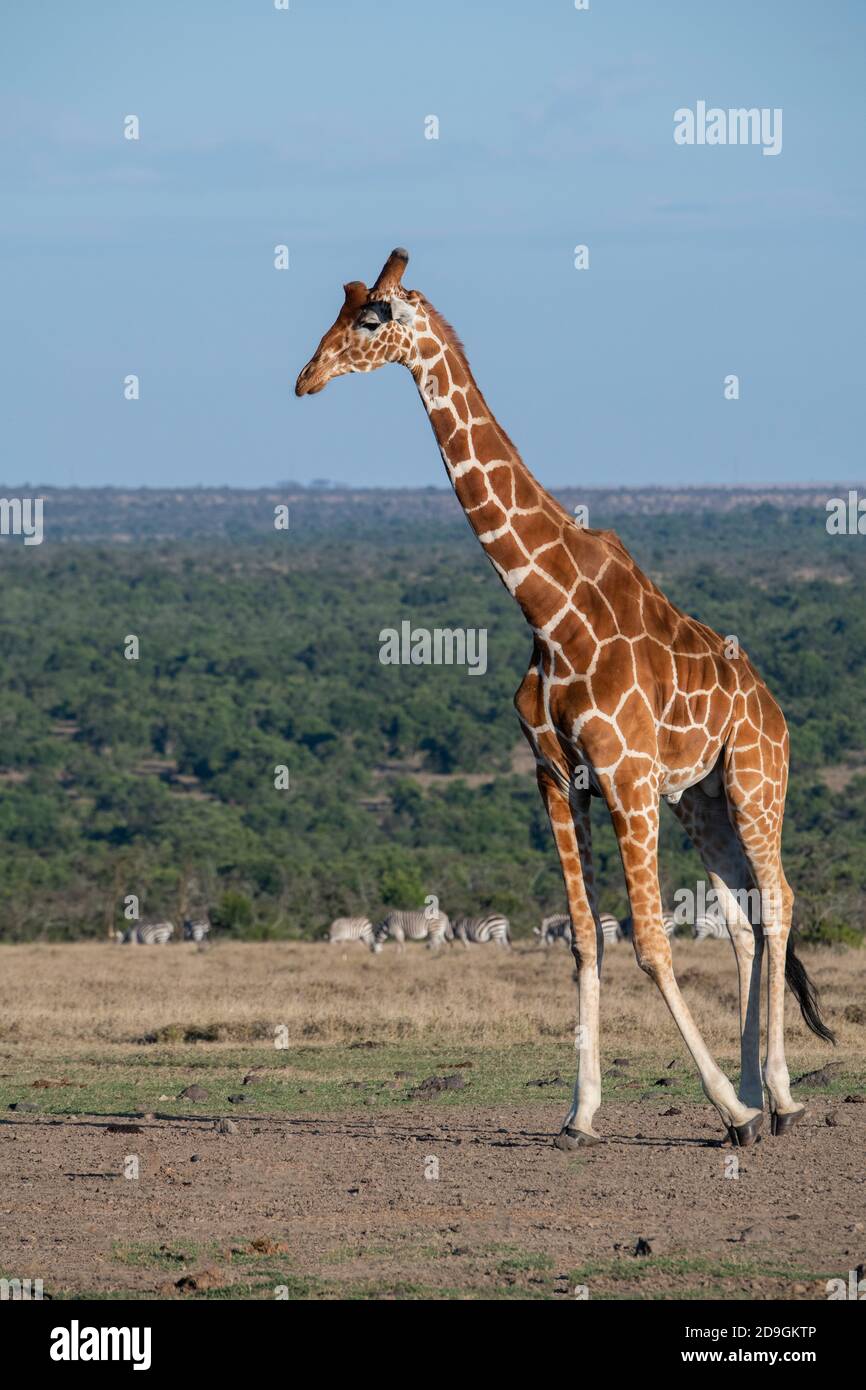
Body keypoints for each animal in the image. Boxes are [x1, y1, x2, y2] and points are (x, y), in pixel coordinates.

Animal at [296, 248, 834, 1149]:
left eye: (371, 318)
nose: (306, 378)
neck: (546, 606)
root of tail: (771, 705)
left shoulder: (623, 778)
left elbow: (650, 942)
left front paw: (726, 1112)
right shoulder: (556, 778)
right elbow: (586, 941)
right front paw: (581, 1115)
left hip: (758, 780)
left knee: (779, 901)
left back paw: (777, 1100)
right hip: (700, 799)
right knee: (742, 915)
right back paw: (765, 1093)